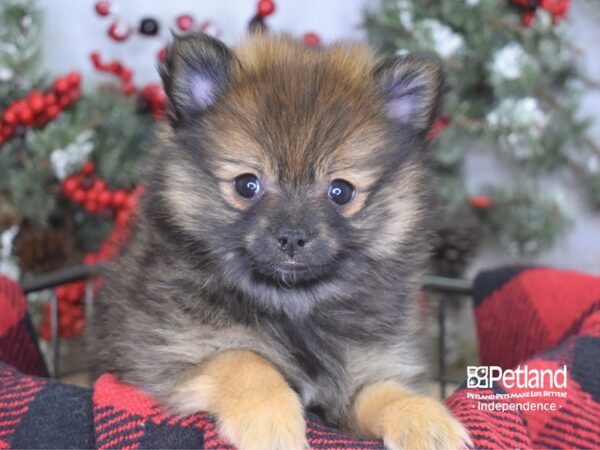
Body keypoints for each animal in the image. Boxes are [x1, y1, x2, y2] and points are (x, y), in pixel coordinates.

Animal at [92, 33, 468, 448]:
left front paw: (425, 419)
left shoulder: (360, 376)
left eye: (341, 191)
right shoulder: (168, 353)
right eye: (247, 184)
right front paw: (271, 422)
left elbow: (387, 392)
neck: (293, 307)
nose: (292, 237)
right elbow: (244, 360)